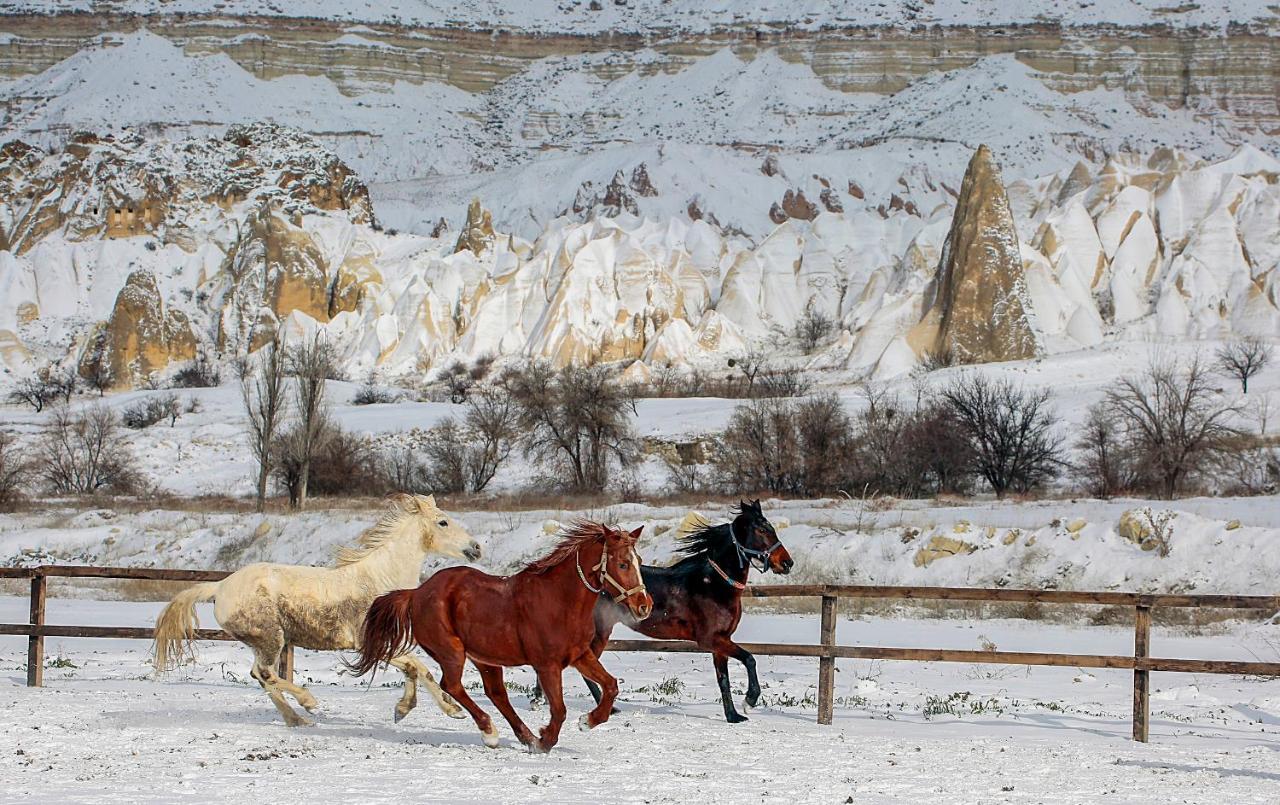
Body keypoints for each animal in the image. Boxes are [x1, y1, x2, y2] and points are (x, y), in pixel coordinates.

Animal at [152, 494, 481, 726]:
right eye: (443, 522)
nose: (476, 548)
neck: (381, 580)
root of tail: (220, 587)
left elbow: (415, 669)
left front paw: (404, 710)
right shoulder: (368, 643)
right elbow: (420, 668)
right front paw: (452, 710)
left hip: (264, 642)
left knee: (261, 675)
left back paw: (297, 720)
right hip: (271, 638)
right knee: (265, 673)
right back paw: (308, 703)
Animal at [348, 517, 650, 752]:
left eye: (638, 561)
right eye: (623, 564)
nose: (644, 605)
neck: (559, 601)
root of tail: (416, 593)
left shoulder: (580, 655)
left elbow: (610, 686)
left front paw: (586, 722)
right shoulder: (547, 665)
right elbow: (559, 709)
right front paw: (546, 740)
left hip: (485, 658)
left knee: (496, 694)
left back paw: (524, 736)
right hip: (452, 651)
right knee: (452, 686)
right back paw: (490, 732)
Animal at [529, 499, 788, 716]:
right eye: (762, 530)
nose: (787, 563)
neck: (713, 584)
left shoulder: (721, 641)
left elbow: (723, 679)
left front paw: (733, 716)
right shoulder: (710, 639)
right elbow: (749, 659)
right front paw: (750, 701)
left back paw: (541, 699)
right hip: (599, 632)